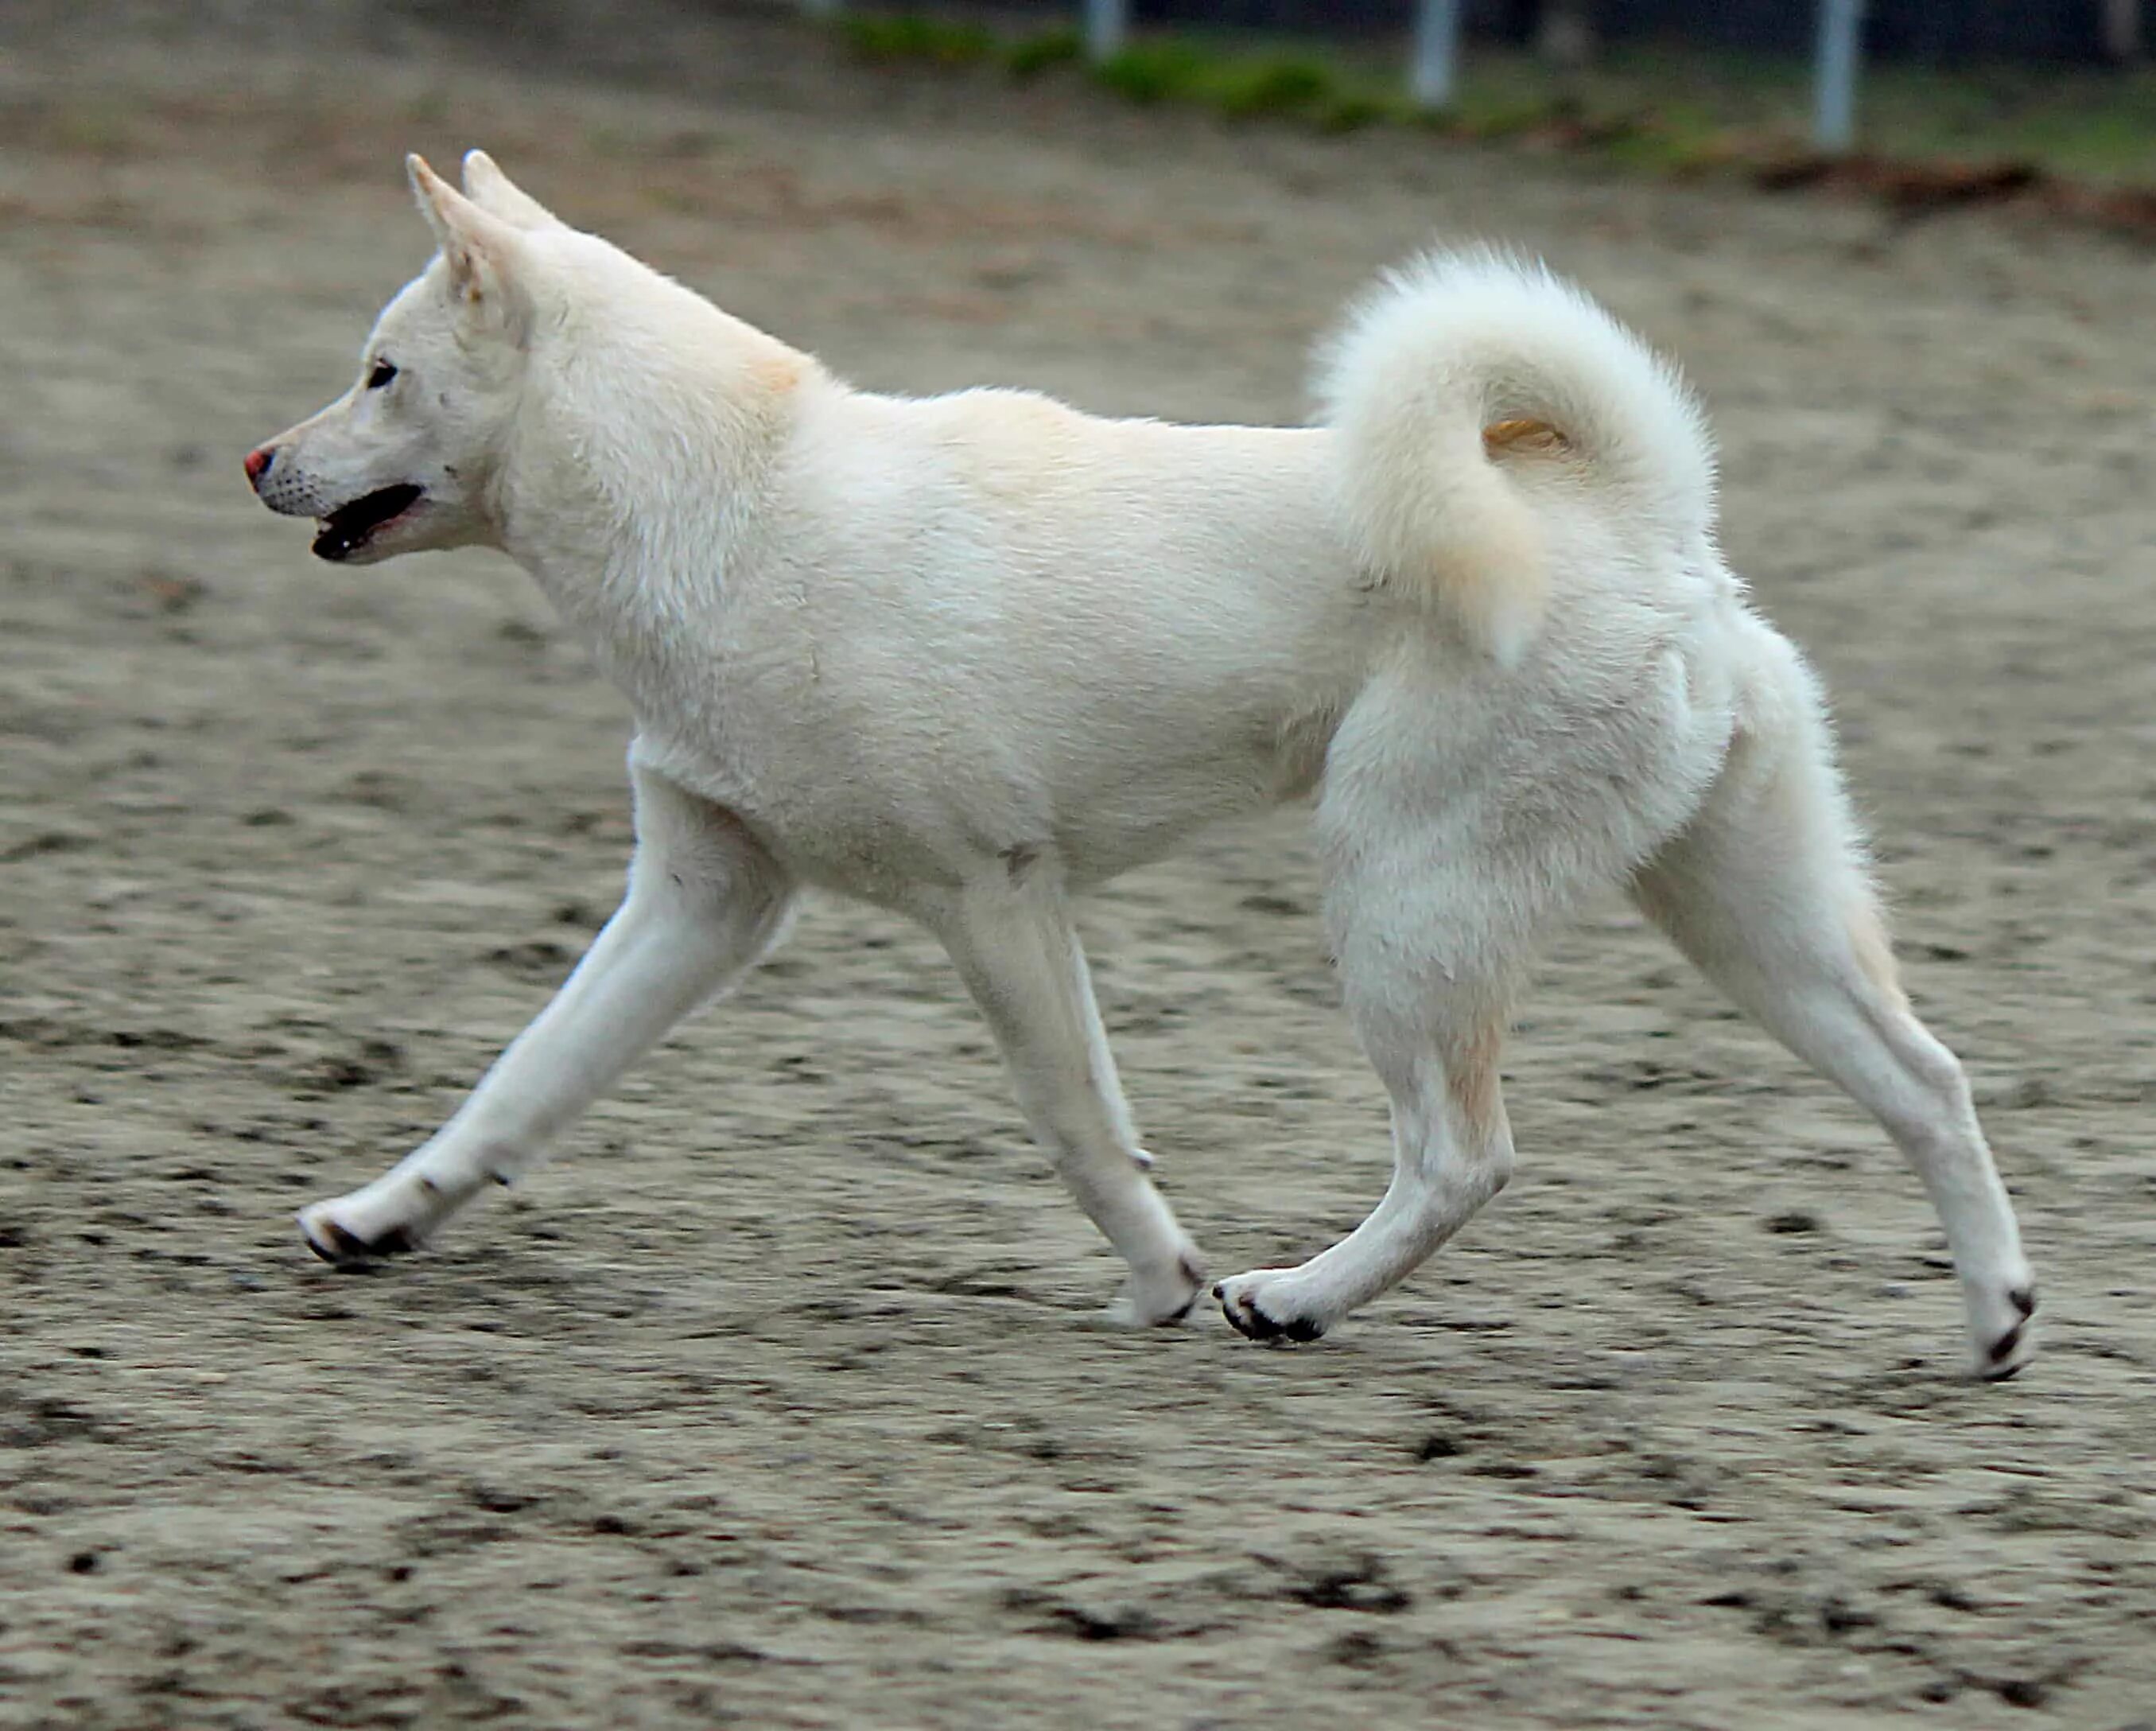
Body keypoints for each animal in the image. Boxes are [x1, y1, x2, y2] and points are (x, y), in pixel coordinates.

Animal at [252, 155, 2035, 1379]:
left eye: (380, 370)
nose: (259, 458)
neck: (734, 502)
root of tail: (1644, 515)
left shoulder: (994, 901)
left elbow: (1077, 1124)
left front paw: (1163, 1278)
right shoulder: (702, 897)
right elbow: (522, 1078)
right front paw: (381, 1216)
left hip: (1404, 903)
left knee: (1463, 1155)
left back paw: (1291, 1299)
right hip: (1744, 915)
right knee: (1929, 1081)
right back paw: (1994, 1321)